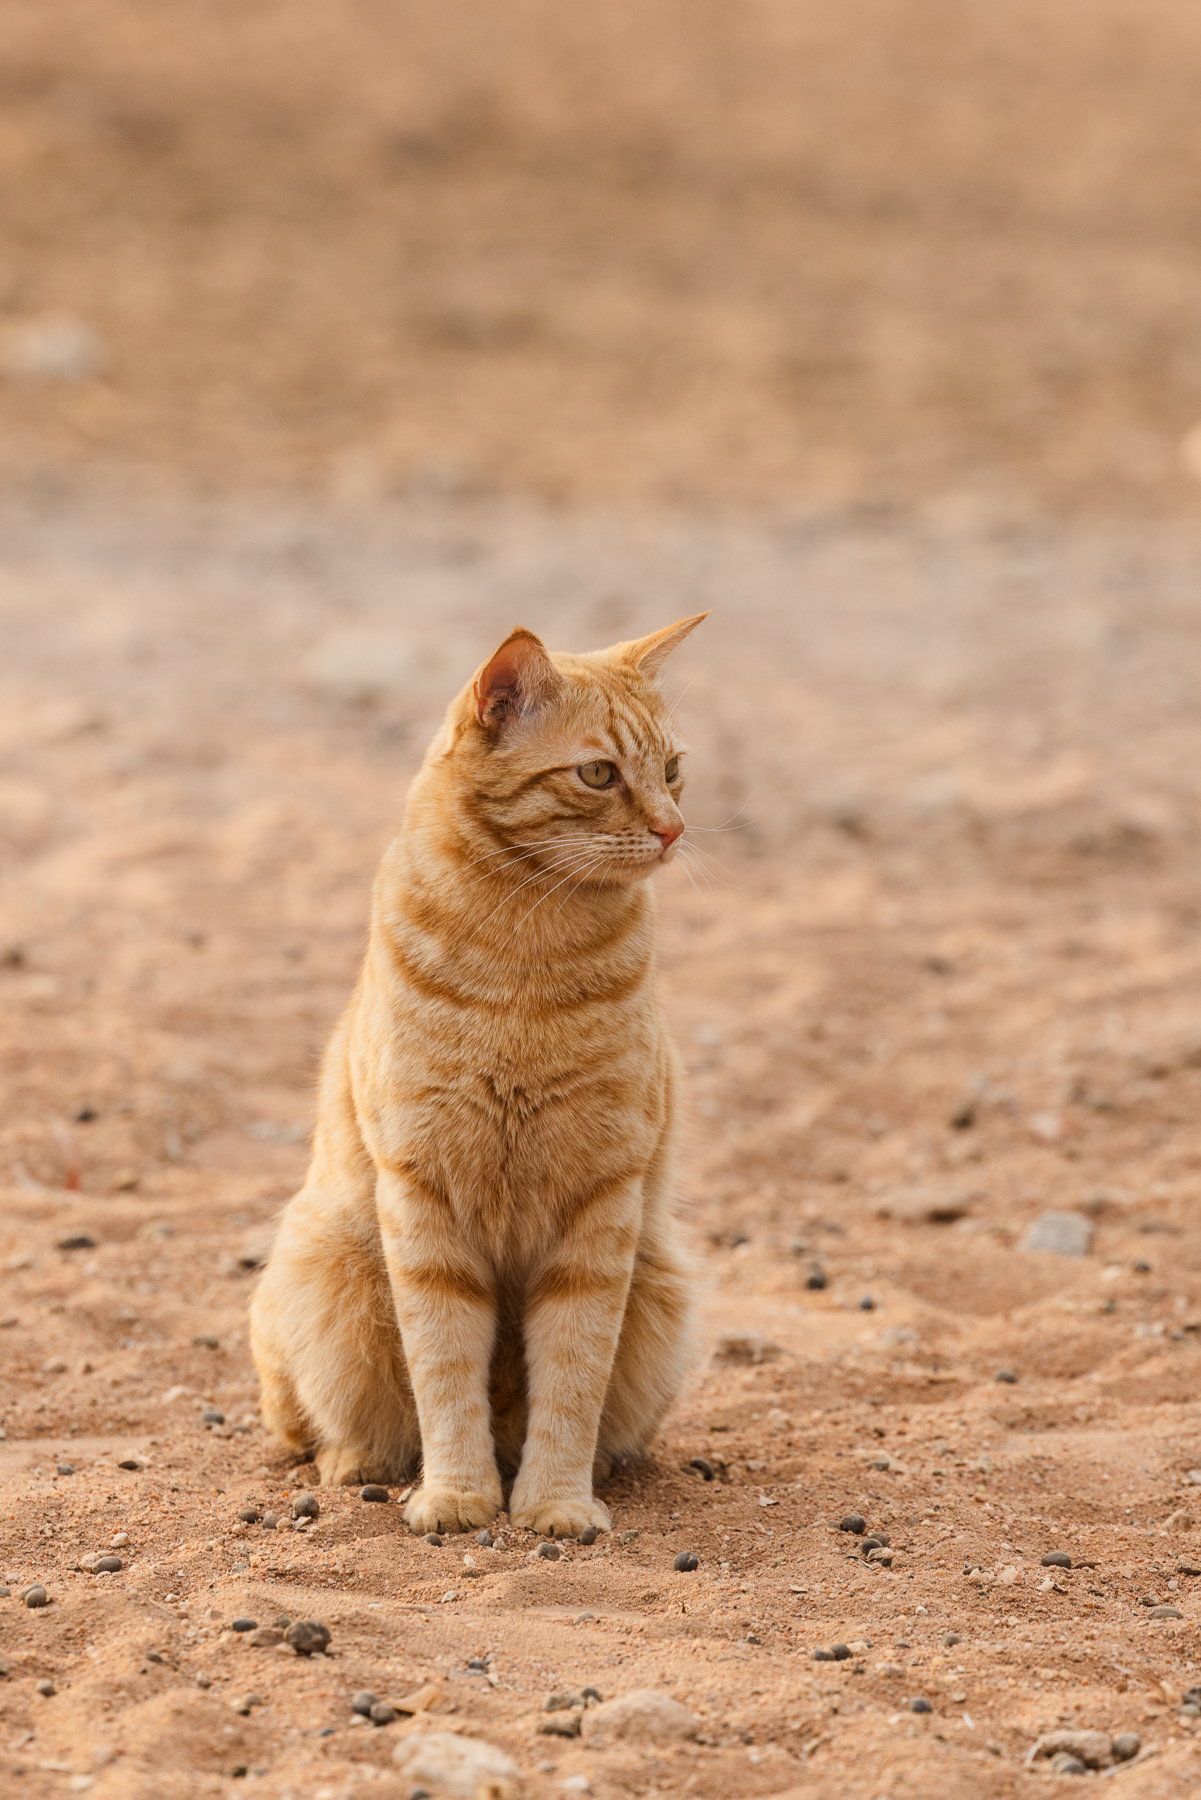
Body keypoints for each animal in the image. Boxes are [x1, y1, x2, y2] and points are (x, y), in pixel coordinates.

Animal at [250, 615, 709, 1533]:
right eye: (598, 773)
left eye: (673, 769)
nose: (673, 829)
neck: (525, 950)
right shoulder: (422, 1195)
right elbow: (442, 1368)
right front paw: (458, 1495)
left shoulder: (600, 1204)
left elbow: (572, 1374)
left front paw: (557, 1502)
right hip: (323, 1263)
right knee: (309, 1427)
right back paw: (358, 1460)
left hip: (662, 1282)